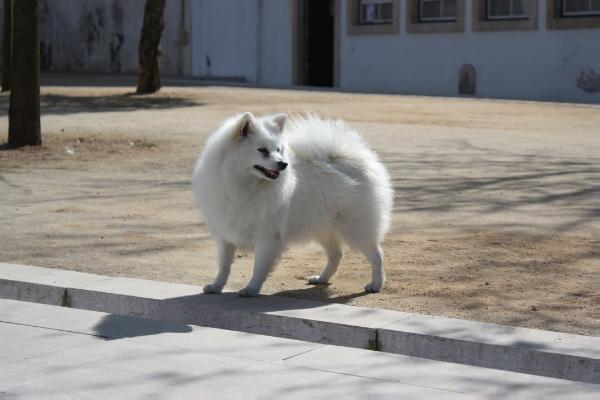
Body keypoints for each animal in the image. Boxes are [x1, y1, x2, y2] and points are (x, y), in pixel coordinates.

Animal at [193, 113, 394, 296]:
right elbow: (224, 266)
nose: (284, 164)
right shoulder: (225, 234)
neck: (244, 186)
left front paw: (251, 289)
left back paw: (376, 285)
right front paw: (216, 286)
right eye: (263, 150)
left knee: (377, 256)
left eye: (278, 150)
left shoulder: (267, 237)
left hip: (354, 229)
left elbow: (258, 268)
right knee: (336, 255)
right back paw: (321, 279)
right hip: (323, 228)